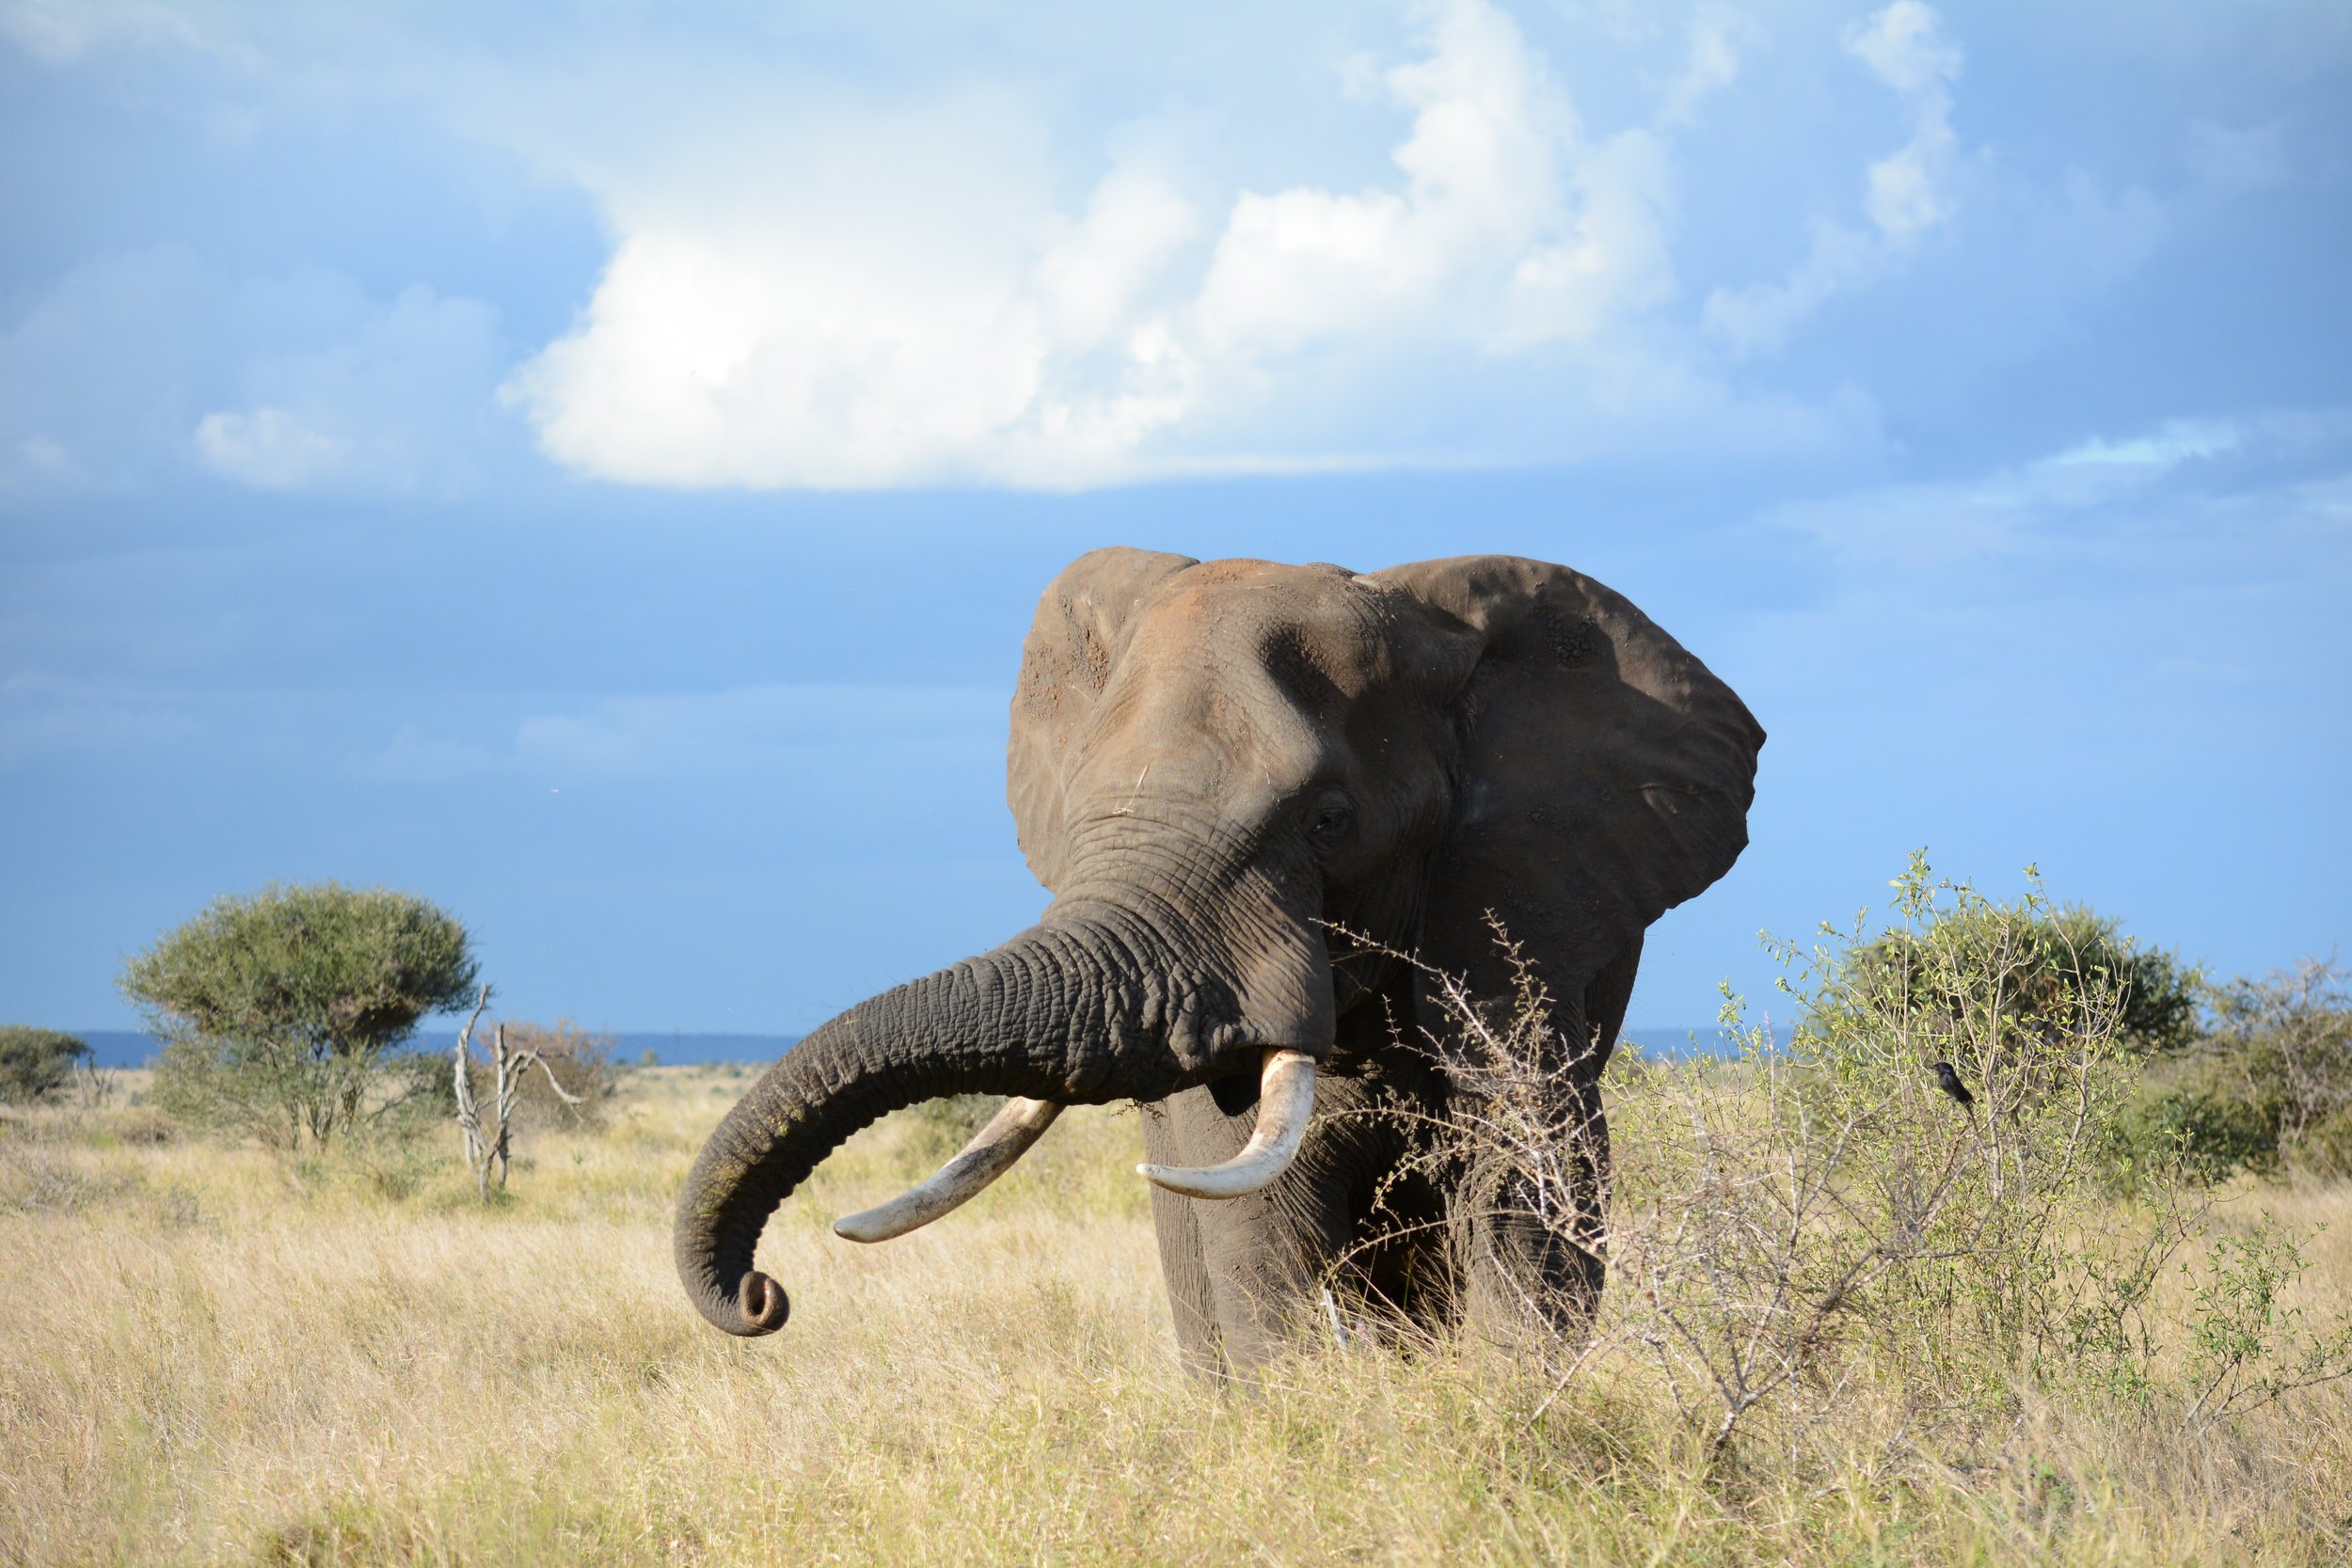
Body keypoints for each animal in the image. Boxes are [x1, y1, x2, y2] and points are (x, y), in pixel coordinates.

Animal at [676, 550, 1764, 1379]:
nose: (762, 1295)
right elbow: (1244, 1205)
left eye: (1329, 820)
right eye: (1079, 811)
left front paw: (1502, 1400)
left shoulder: (1514, 906)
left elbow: (1529, 1174)